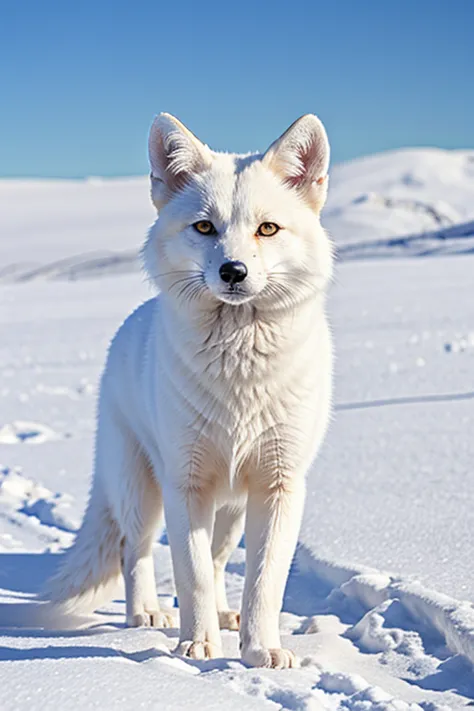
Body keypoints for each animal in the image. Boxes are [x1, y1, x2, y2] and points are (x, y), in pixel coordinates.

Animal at [35, 114, 334, 672]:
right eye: (204, 228)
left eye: (267, 228)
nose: (233, 271)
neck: (241, 372)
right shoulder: (186, 484)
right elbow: (189, 575)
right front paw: (196, 648)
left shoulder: (277, 486)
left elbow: (261, 584)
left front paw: (260, 650)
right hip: (143, 490)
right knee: (134, 551)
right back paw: (147, 614)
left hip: (231, 509)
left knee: (217, 562)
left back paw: (223, 617)